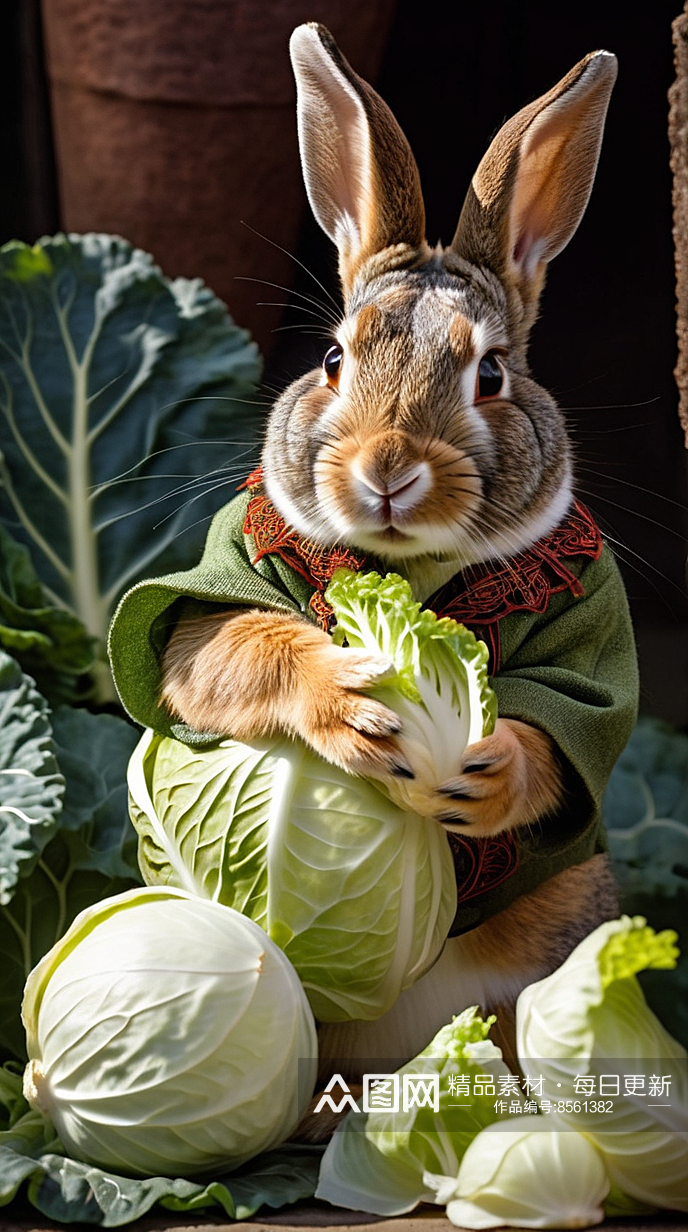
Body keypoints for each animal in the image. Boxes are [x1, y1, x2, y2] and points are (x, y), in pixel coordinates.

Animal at [157, 24, 641, 1084]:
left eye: (490, 373)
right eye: (335, 359)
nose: (388, 467)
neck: (407, 568)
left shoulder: (590, 624)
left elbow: (571, 726)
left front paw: (491, 768)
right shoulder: (216, 583)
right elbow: (226, 649)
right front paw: (350, 706)